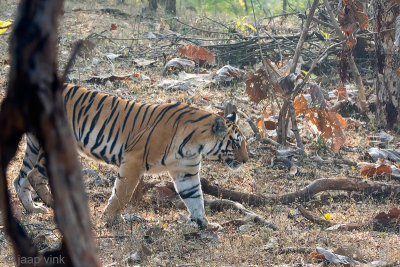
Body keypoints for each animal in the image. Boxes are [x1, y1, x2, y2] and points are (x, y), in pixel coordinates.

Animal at [14, 83, 248, 228]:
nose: (246, 160)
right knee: (33, 176)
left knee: (20, 179)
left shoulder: (186, 172)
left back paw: (33, 209)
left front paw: (203, 224)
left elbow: (195, 198)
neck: (195, 145)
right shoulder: (134, 161)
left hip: (33, 147)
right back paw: (51, 204)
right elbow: (122, 193)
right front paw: (110, 217)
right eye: (236, 143)